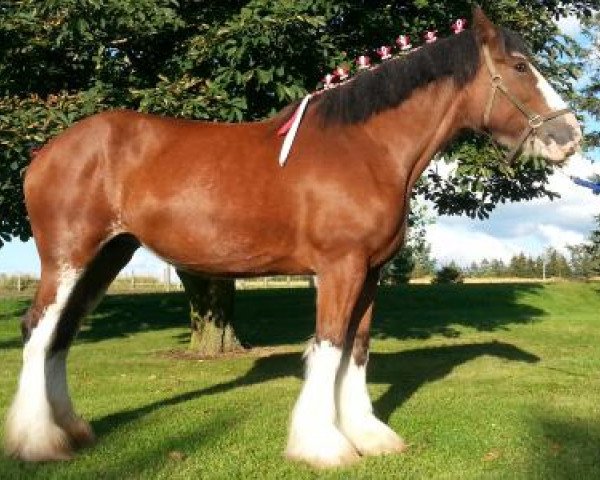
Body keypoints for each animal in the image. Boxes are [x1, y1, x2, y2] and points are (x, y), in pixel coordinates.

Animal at [4, 8, 580, 468]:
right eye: (520, 67)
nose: (570, 137)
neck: (366, 148)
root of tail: (46, 151)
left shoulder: (371, 271)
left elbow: (357, 348)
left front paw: (370, 436)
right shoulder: (339, 268)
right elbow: (328, 346)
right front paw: (324, 445)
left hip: (108, 257)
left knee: (61, 335)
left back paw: (72, 432)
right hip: (68, 258)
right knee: (38, 330)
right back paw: (38, 442)